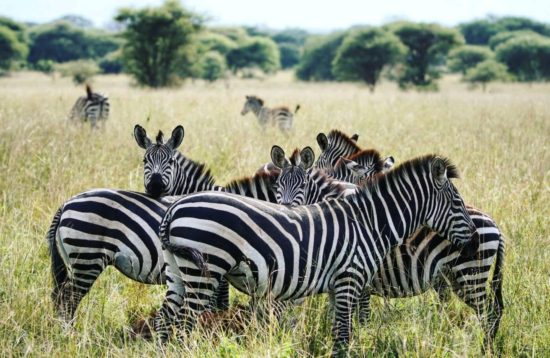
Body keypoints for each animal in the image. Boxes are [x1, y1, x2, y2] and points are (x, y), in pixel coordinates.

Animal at [46, 124, 280, 322]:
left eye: (171, 162)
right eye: (144, 161)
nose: (155, 186)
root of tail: (66, 203)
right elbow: (219, 304)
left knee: (60, 297)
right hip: (87, 257)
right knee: (68, 300)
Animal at [154, 155, 478, 356]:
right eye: (457, 202)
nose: (475, 241)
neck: (370, 222)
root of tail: (174, 208)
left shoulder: (338, 285)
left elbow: (338, 330)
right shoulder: (349, 278)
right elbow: (344, 333)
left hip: (177, 271)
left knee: (164, 319)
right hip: (204, 272)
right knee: (184, 323)